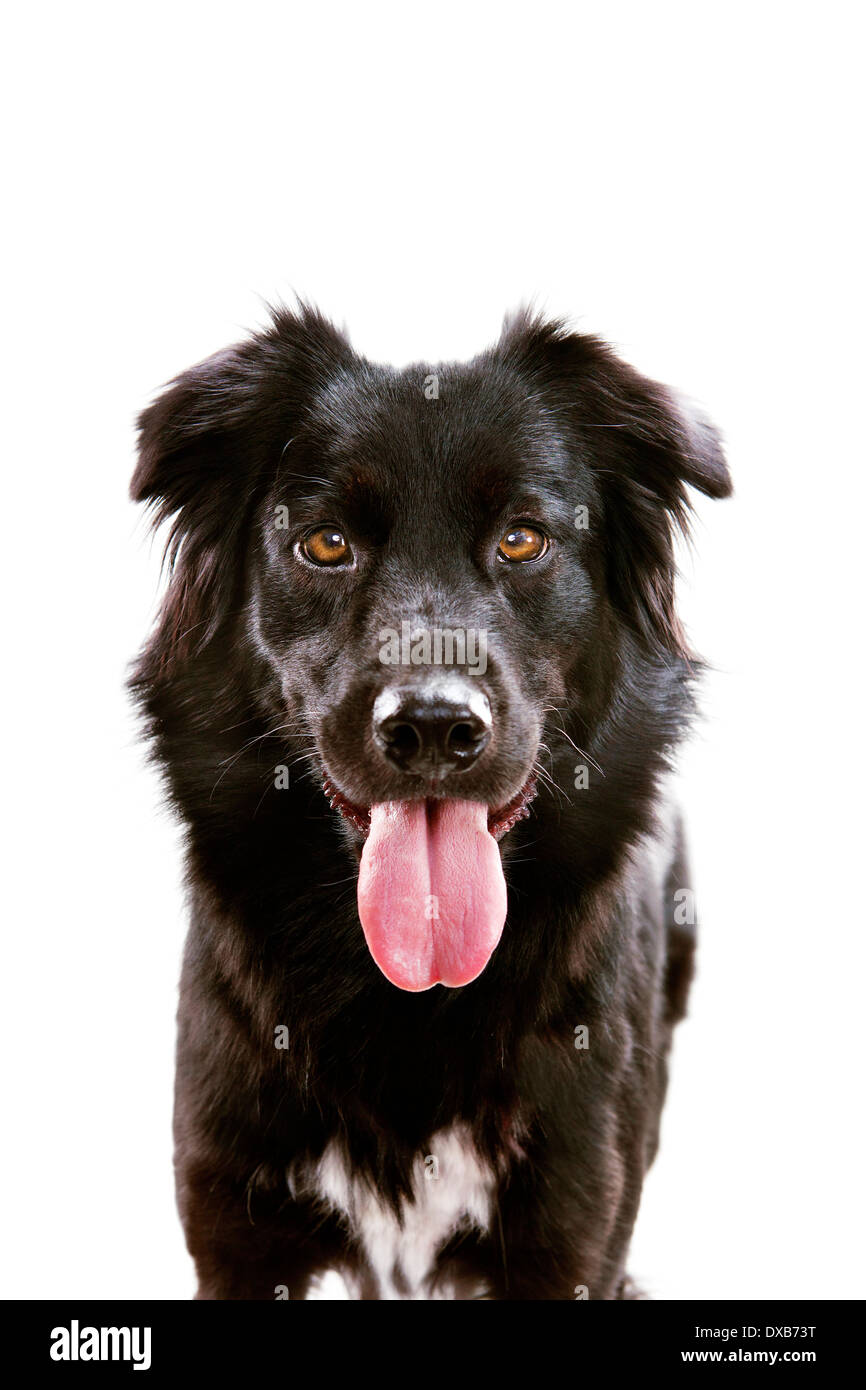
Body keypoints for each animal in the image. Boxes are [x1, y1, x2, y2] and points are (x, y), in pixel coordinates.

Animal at [132, 304, 733, 1301]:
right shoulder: (240, 1235)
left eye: (522, 538)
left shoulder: (572, 1233)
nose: (434, 729)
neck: (407, 995)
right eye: (325, 544)